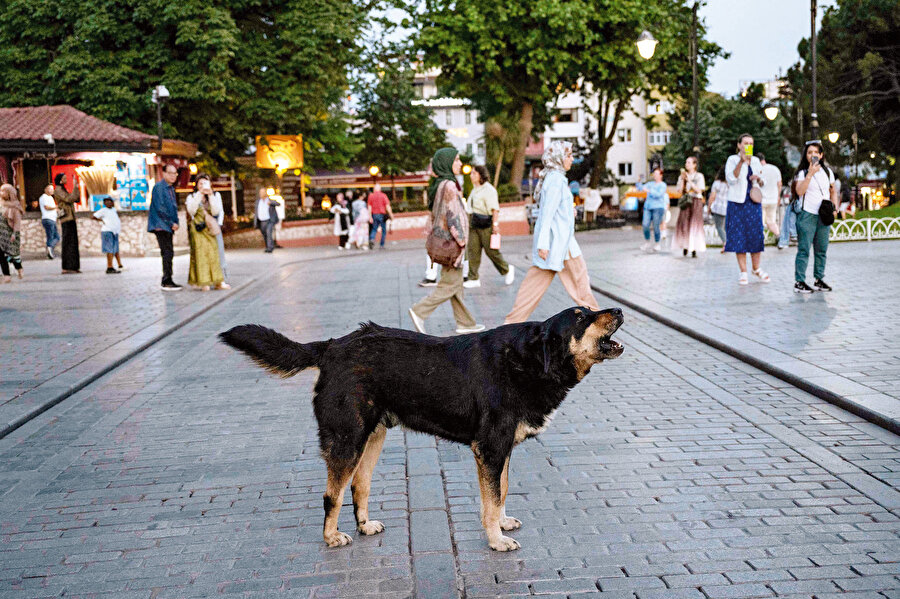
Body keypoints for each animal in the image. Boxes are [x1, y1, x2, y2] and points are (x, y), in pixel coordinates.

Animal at [220, 308, 624, 552]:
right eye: (581, 318)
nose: (619, 311)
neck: (527, 362)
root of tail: (332, 346)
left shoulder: (502, 450)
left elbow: (502, 492)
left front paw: (502, 524)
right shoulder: (490, 448)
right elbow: (491, 501)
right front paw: (495, 540)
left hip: (373, 437)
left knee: (359, 486)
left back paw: (365, 525)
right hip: (348, 439)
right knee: (331, 495)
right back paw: (331, 536)